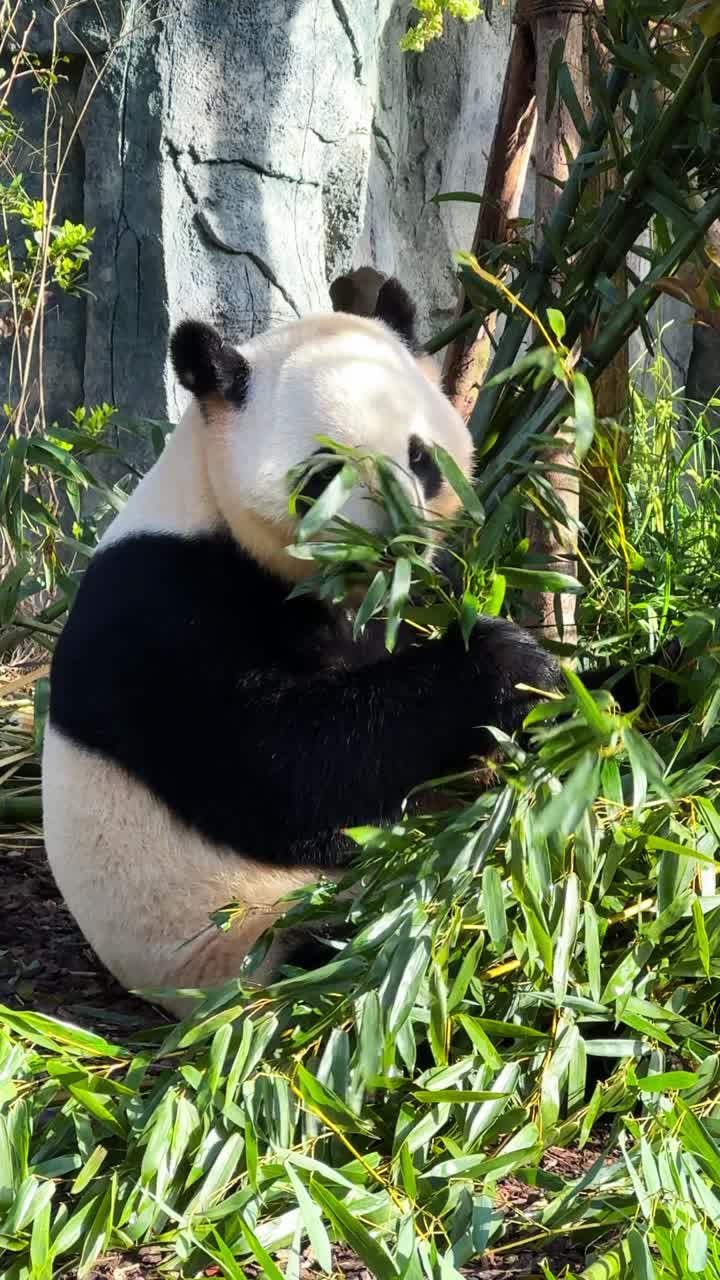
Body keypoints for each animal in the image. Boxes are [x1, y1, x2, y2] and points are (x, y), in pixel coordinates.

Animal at [41, 277, 564, 1019]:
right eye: (322, 475)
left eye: (419, 457)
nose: (397, 539)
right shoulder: (161, 611)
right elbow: (278, 766)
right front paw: (506, 665)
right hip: (248, 935)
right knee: (360, 945)